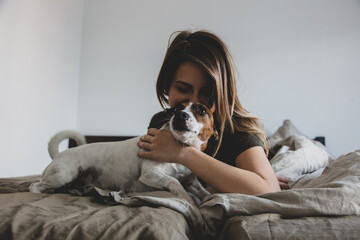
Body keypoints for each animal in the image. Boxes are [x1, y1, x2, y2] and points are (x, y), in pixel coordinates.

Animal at [28, 102, 217, 205]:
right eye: (176, 108)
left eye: (201, 110)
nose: (180, 114)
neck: (179, 148)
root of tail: (59, 155)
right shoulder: (150, 174)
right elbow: (174, 181)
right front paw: (188, 198)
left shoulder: (193, 183)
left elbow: (205, 193)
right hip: (64, 174)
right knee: (34, 186)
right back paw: (45, 190)